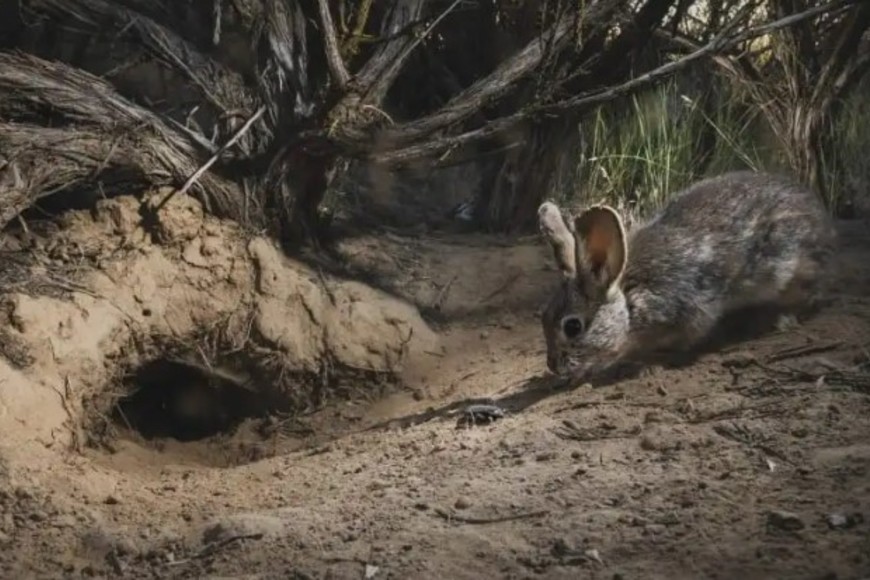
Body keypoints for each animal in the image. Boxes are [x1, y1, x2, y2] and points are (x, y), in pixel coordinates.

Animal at [540, 170, 836, 378]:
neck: (628, 300)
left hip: (788, 270)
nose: (553, 366)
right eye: (543, 318)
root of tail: (821, 217)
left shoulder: (686, 312)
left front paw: (644, 365)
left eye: (573, 326)